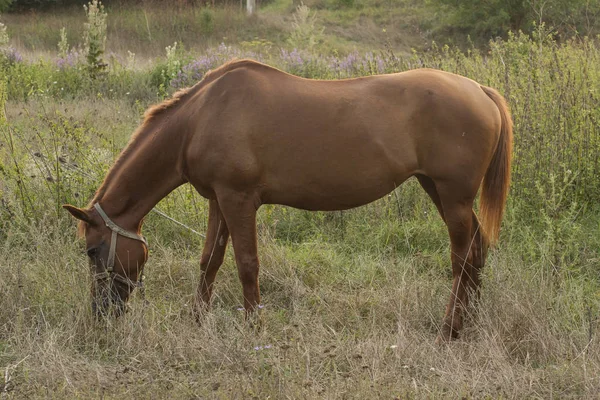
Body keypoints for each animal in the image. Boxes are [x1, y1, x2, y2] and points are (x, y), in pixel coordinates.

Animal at [67, 58, 516, 340]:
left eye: (92, 250)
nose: (100, 315)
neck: (201, 117)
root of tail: (479, 90)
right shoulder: (218, 200)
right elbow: (209, 261)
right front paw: (196, 320)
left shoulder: (239, 200)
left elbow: (247, 265)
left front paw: (254, 328)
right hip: (437, 190)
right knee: (477, 251)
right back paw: (470, 325)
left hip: (453, 198)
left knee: (462, 258)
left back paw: (449, 330)